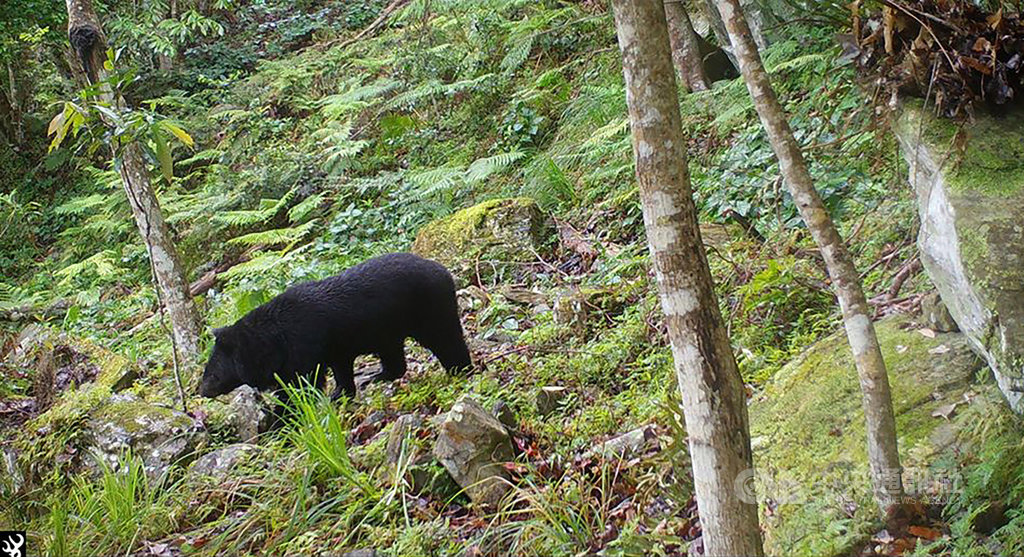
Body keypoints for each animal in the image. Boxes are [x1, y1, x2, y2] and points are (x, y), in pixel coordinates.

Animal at [198, 251, 471, 401]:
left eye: (213, 373)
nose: (201, 390)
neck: (274, 341)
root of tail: (443, 270)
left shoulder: (304, 344)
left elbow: (303, 382)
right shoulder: (334, 348)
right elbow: (340, 370)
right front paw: (340, 393)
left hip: (427, 308)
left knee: (446, 339)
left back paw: (460, 369)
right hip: (388, 329)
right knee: (393, 357)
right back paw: (376, 375)